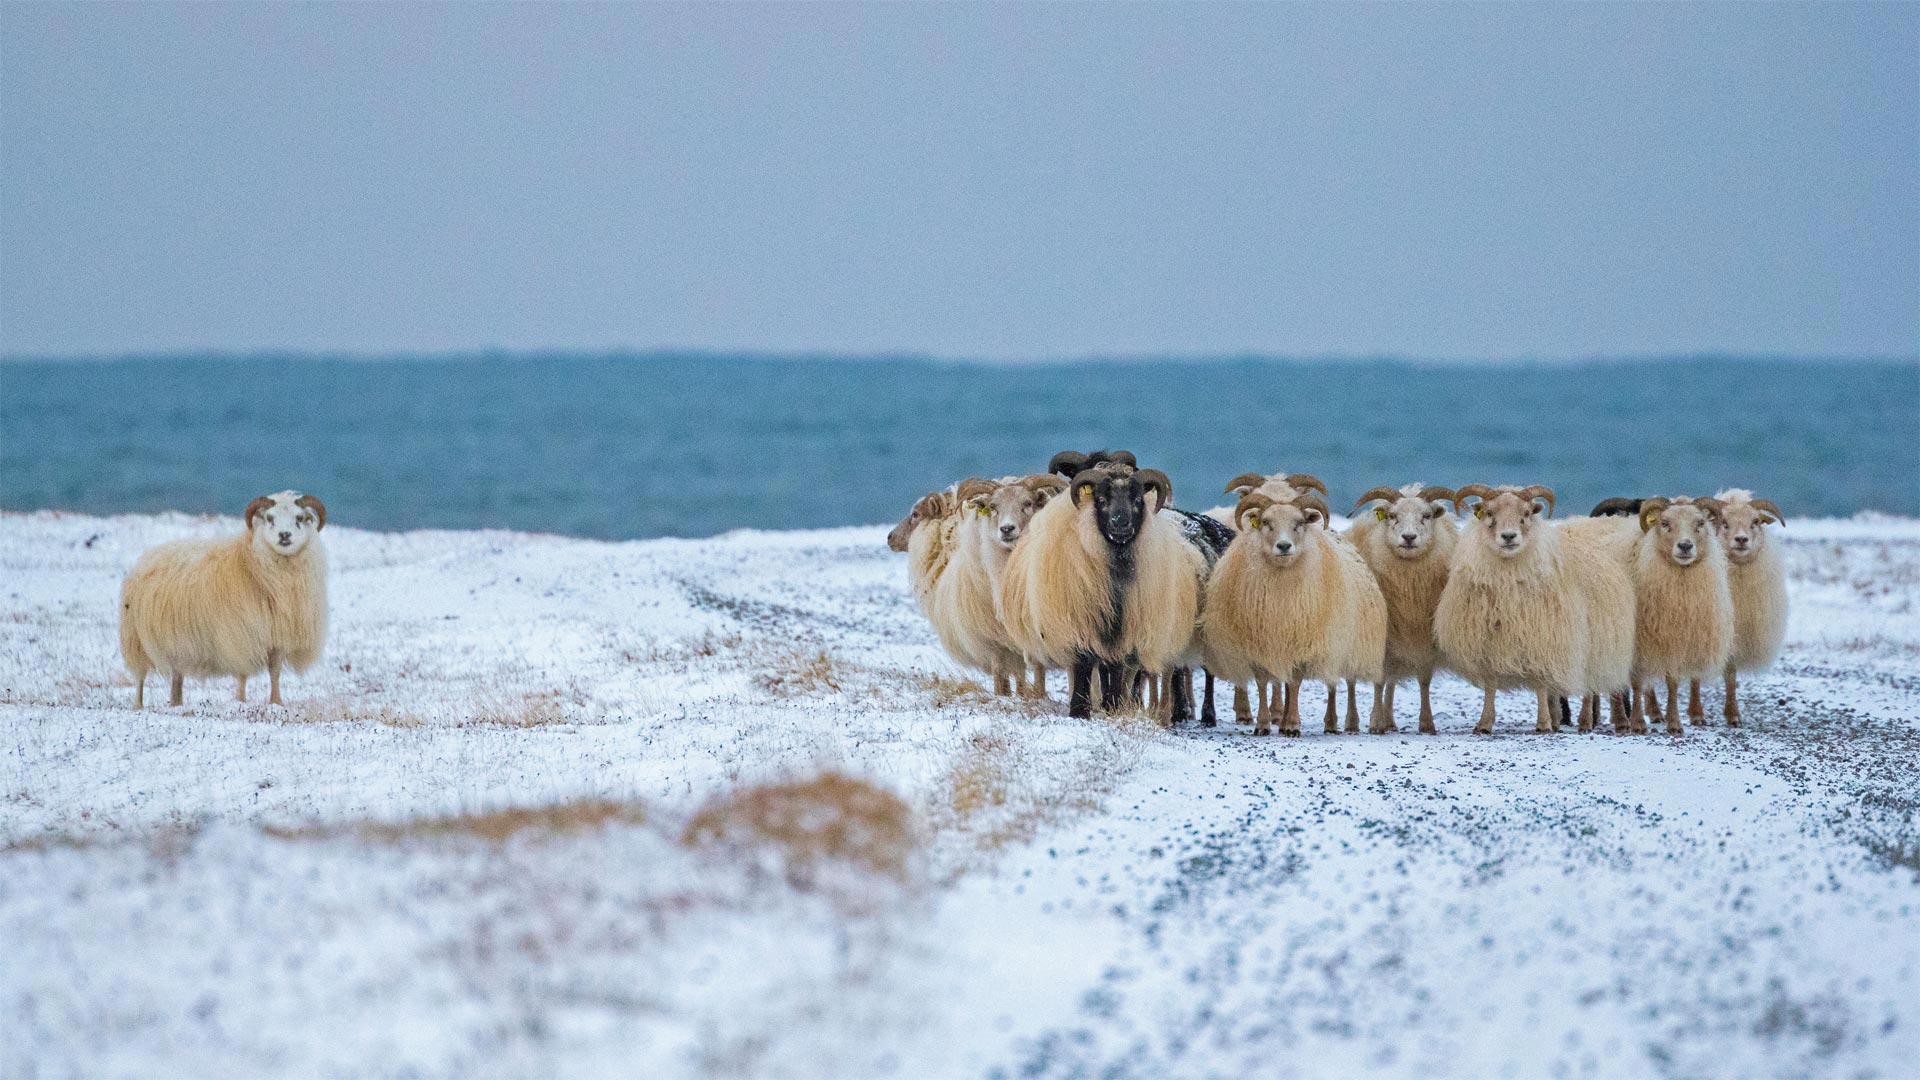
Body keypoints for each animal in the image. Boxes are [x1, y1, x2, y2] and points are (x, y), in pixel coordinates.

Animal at [120, 488, 332, 707]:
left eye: (299, 518)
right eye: (269, 518)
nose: (284, 535)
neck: (250, 564)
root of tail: (148, 555)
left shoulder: (278, 637)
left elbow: (275, 672)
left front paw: (276, 702)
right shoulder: (240, 632)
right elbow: (243, 673)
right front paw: (241, 700)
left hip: (178, 646)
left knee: (177, 677)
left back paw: (177, 704)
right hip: (135, 639)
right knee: (140, 677)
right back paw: (139, 706)